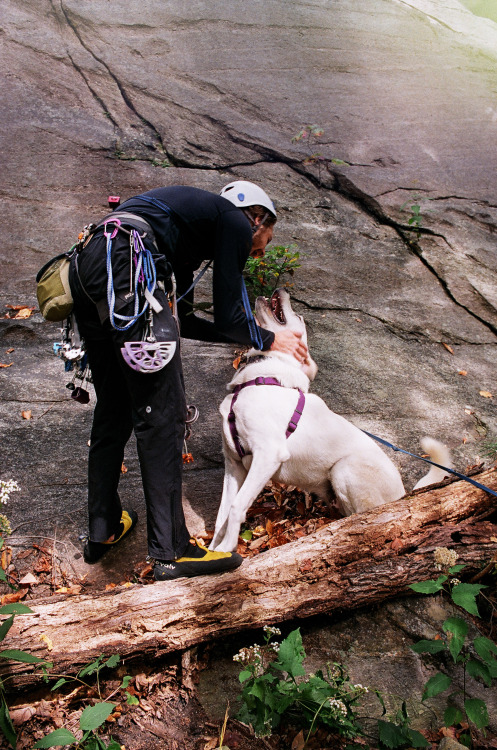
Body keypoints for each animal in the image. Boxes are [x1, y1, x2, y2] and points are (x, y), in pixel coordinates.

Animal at [208, 290, 450, 556]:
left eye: (299, 317)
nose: (282, 291)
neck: (260, 376)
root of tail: (403, 495)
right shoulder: (233, 465)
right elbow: (221, 516)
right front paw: (211, 551)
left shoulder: (268, 454)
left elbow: (236, 507)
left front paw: (226, 549)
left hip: (344, 469)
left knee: (363, 519)